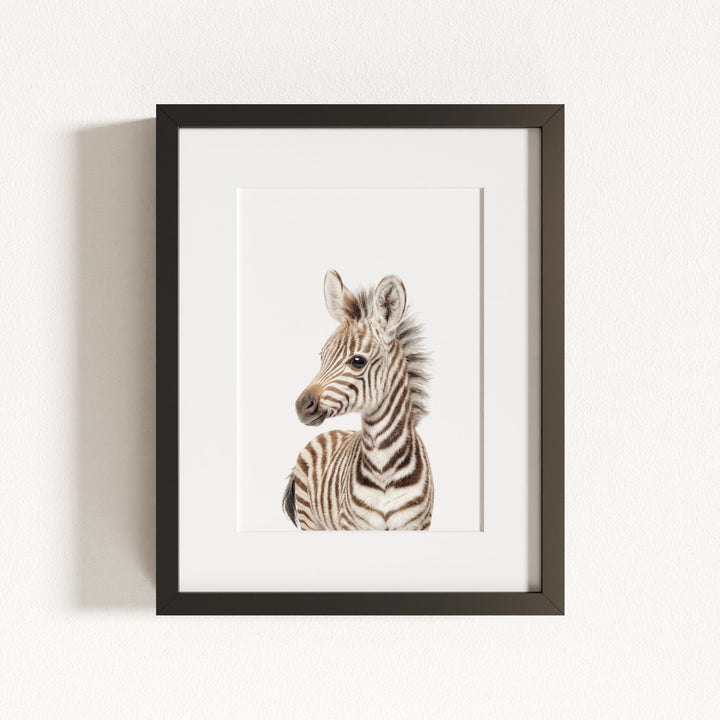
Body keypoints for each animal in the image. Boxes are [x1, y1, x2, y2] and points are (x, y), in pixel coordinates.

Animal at [282, 270, 433, 531]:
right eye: (322, 356)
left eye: (357, 361)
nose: (301, 406)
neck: (384, 467)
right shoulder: (354, 526)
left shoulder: (416, 525)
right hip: (310, 519)